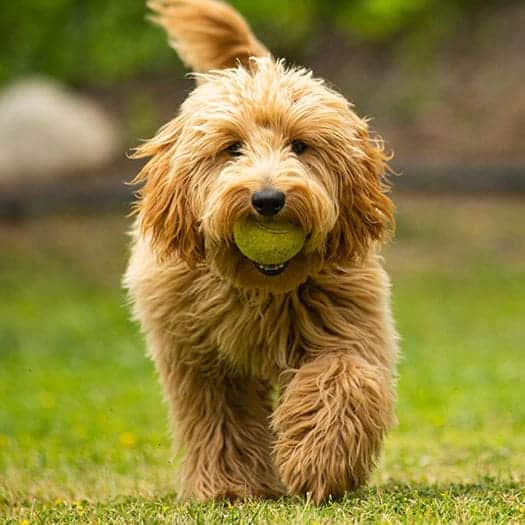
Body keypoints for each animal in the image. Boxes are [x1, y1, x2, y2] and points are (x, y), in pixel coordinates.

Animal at [124, 0, 398, 504]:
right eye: (232, 148)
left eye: (301, 145)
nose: (268, 200)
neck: (258, 287)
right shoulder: (200, 359)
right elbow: (219, 417)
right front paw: (231, 487)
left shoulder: (346, 323)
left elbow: (343, 377)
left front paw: (318, 460)